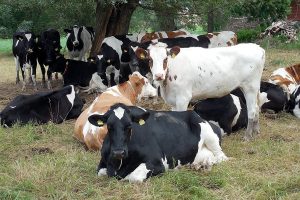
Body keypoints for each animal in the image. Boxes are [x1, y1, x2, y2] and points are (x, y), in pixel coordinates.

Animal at [88, 103, 229, 183]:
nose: (118, 152)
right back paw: (198, 165)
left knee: (222, 157)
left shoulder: (157, 164)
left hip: (210, 136)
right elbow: (101, 173)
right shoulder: (102, 164)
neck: (119, 164)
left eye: (129, 126)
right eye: (109, 126)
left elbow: (133, 177)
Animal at [136, 41, 264, 141]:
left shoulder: (183, 98)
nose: (158, 75)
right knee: (257, 107)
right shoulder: (173, 101)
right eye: (150, 59)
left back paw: (247, 136)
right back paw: (256, 131)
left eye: (165, 59)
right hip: (253, 88)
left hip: (250, 87)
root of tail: (258, 47)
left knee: (252, 110)